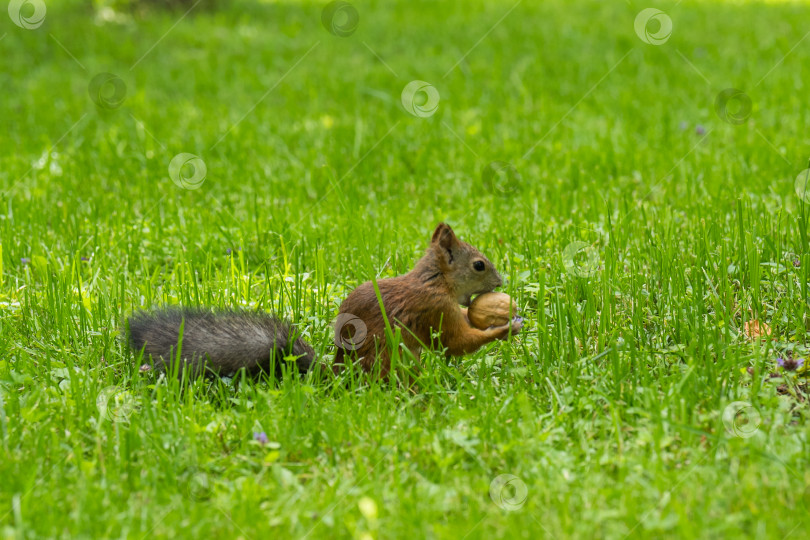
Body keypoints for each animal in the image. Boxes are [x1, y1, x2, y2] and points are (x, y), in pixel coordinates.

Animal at [127, 223, 522, 378]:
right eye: (479, 265)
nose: (500, 282)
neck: (434, 282)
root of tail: (340, 376)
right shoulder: (434, 308)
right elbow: (456, 342)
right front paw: (506, 327)